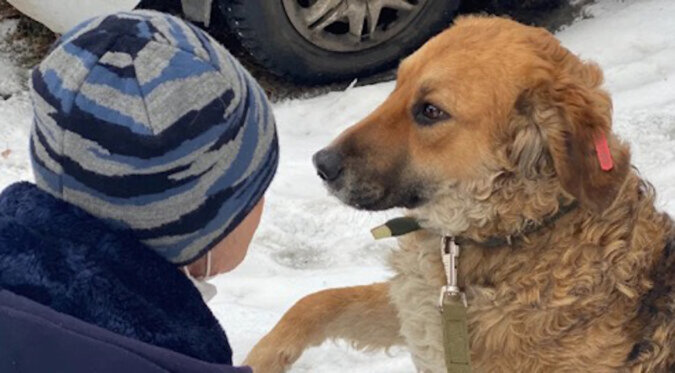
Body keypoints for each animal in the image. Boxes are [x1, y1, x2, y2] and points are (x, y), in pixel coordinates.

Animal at [246, 15, 672, 372]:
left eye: (431, 111)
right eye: (396, 85)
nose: (321, 163)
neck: (514, 233)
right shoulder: (419, 312)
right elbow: (318, 301)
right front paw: (266, 355)